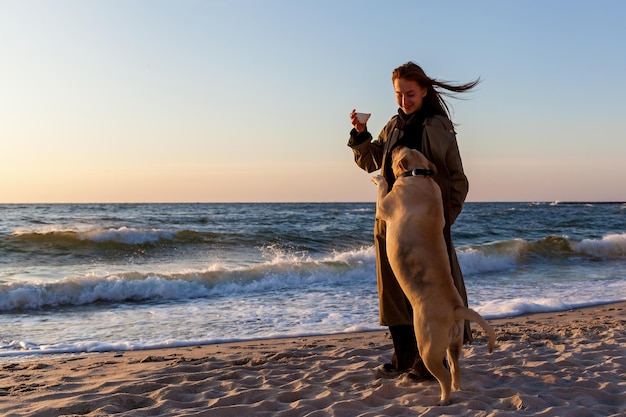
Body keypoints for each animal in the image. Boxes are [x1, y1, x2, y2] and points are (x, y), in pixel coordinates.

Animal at [370, 145, 492, 404]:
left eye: (399, 152)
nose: (395, 146)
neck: (420, 174)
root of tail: (456, 309)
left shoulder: (385, 205)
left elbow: (383, 190)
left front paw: (379, 178)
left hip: (428, 346)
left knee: (443, 374)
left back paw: (443, 399)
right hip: (454, 345)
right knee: (455, 368)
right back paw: (456, 389)